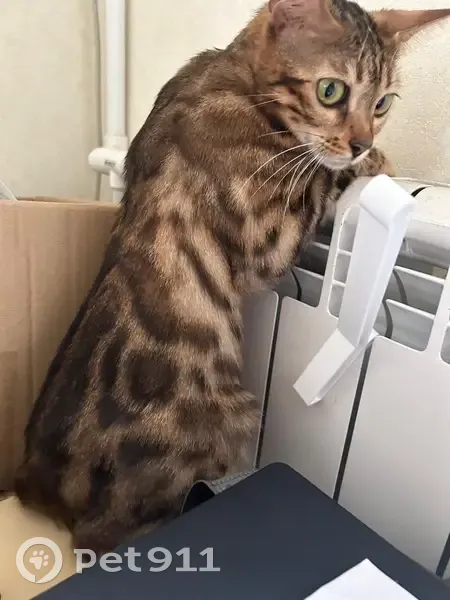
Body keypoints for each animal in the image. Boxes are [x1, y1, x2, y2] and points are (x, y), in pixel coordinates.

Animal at [15, 0, 450, 553]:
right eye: (331, 91)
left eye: (383, 103)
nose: (361, 143)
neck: (235, 79)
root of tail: (35, 482)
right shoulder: (265, 239)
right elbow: (315, 174)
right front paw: (369, 161)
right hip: (232, 417)